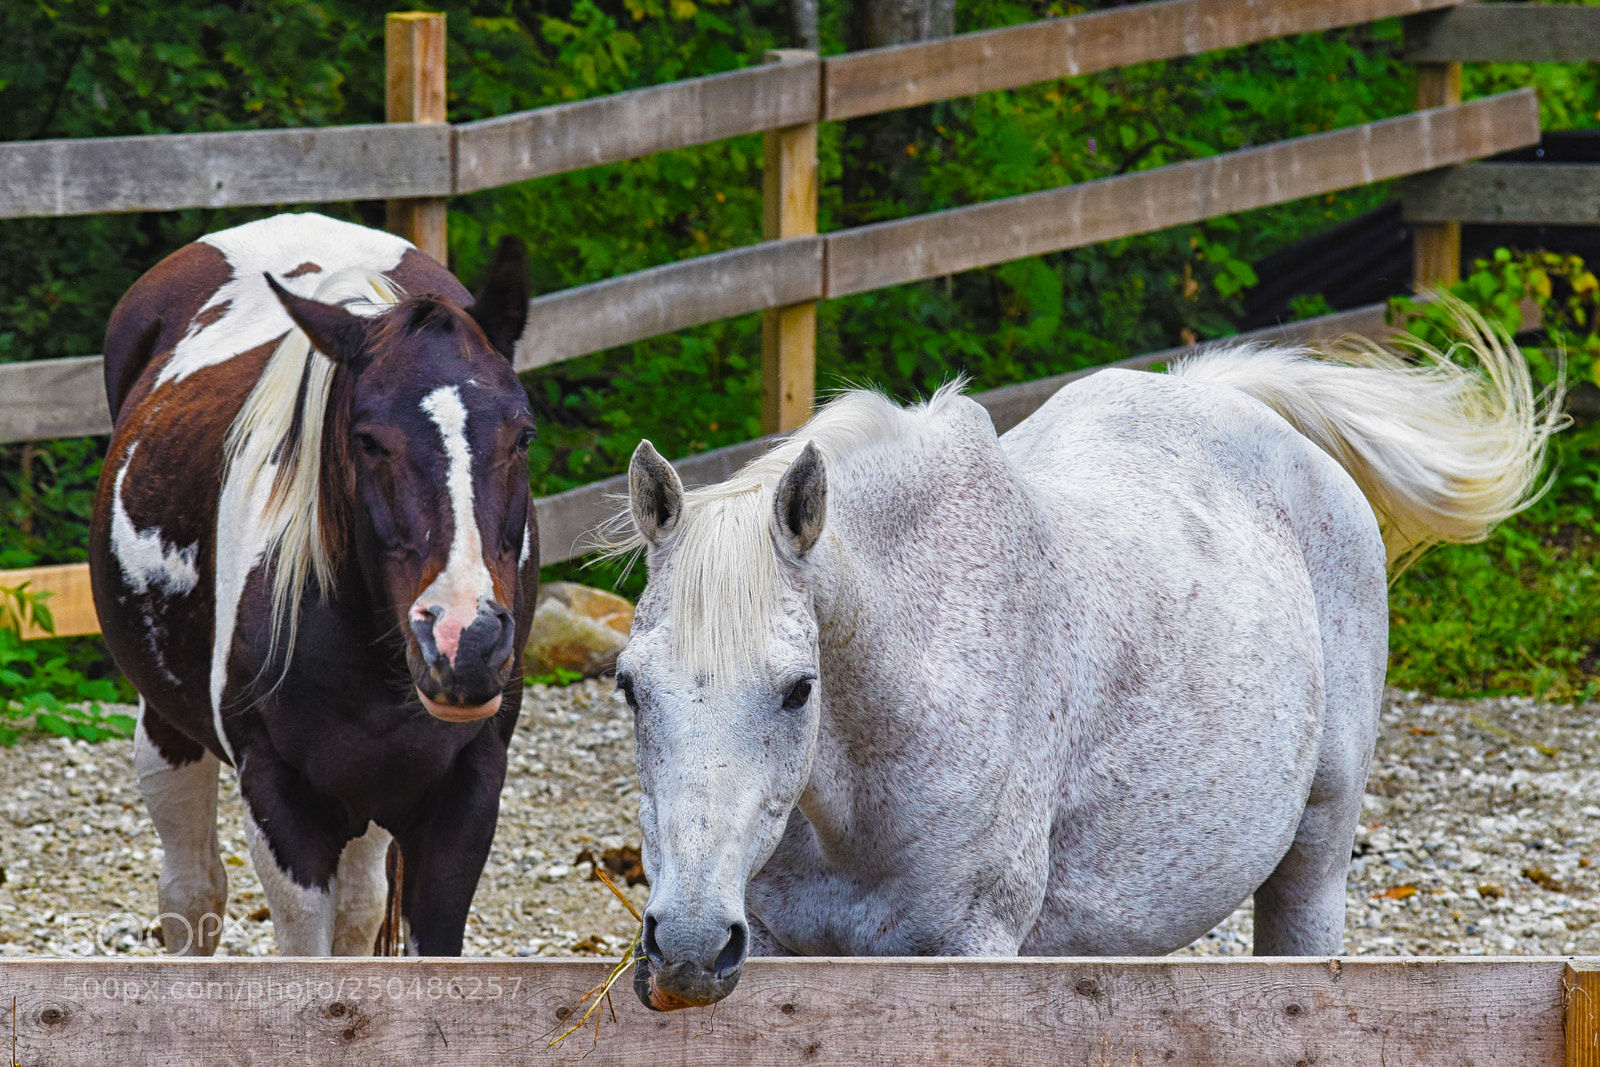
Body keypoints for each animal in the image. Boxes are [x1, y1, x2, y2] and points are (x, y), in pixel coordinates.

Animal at [88, 212, 538, 956]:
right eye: (368, 440)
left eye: (523, 435)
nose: (463, 643)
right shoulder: (283, 802)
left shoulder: (462, 794)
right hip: (168, 727)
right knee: (192, 894)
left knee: (359, 905)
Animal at [609, 299, 1561, 1008]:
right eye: (628, 686)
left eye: (799, 688)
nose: (687, 943)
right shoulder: (774, 947)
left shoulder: (967, 948)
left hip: (1317, 858)